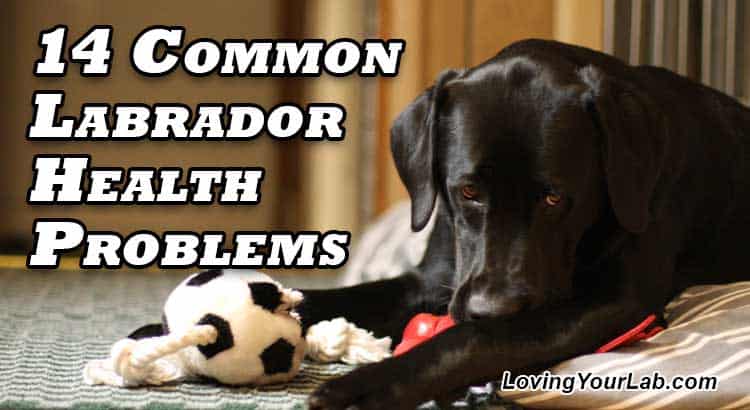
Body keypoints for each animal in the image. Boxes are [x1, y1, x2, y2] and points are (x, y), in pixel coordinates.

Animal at [302, 37, 750, 406]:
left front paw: (364, 386)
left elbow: (475, 338)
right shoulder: (429, 281)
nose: (491, 308)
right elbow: (322, 298)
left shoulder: (618, 300)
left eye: (554, 198)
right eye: (468, 191)